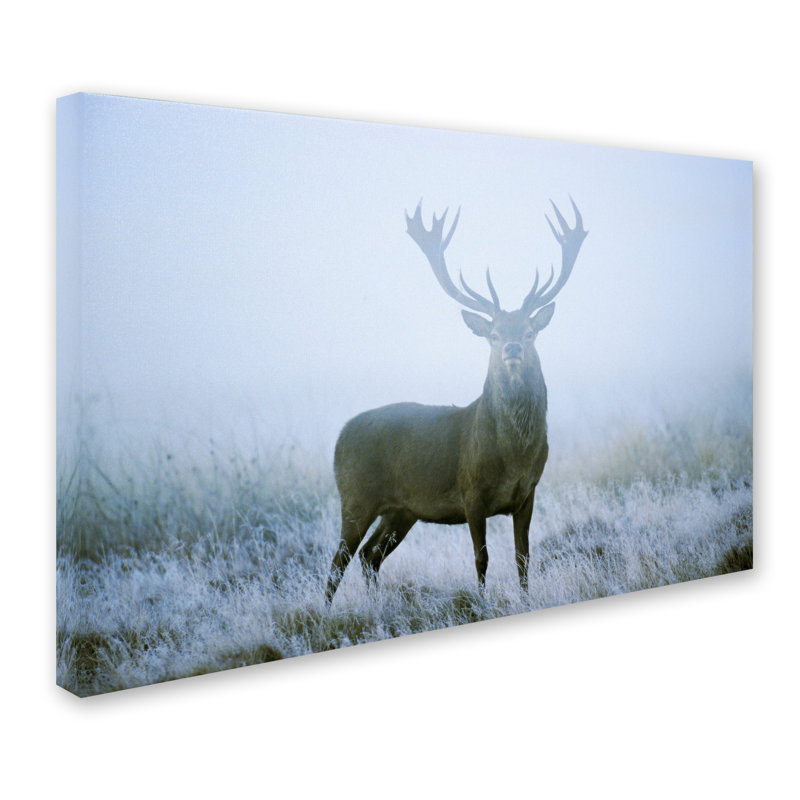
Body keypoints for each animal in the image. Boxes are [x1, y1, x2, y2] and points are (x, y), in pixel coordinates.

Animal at [325, 198, 587, 604]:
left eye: (530, 331)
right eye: (493, 334)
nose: (513, 347)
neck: (514, 455)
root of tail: (338, 437)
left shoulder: (528, 492)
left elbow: (523, 556)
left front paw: (527, 599)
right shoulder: (471, 492)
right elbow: (481, 558)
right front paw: (481, 601)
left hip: (402, 510)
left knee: (370, 555)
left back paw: (376, 602)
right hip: (355, 496)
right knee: (337, 563)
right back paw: (325, 610)